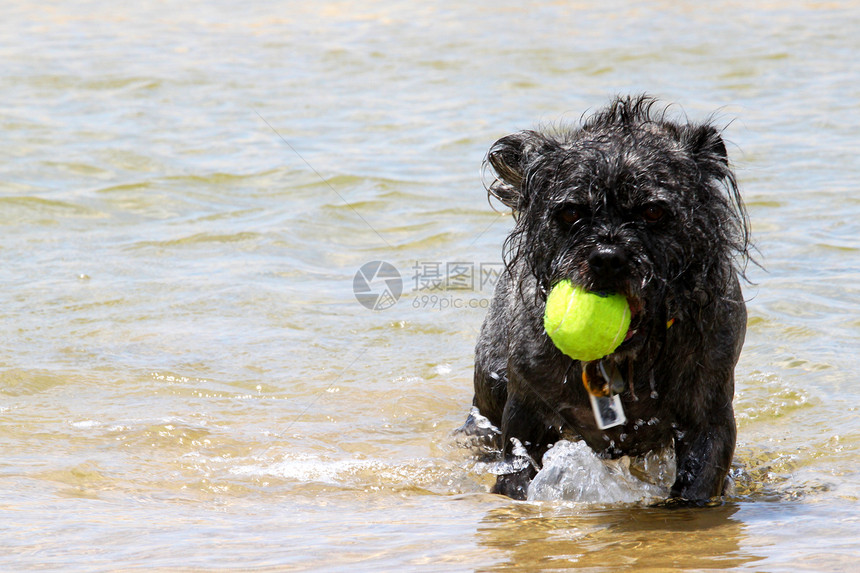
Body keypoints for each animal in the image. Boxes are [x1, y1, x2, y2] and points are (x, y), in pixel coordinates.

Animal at [466, 96, 748, 502]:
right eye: (570, 212)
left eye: (653, 211)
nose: (607, 257)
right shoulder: (525, 415)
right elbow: (517, 469)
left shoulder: (709, 418)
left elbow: (695, 485)